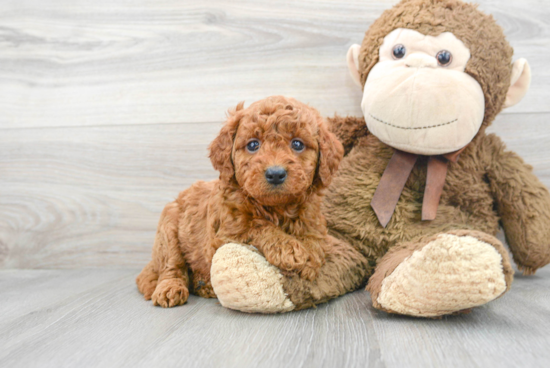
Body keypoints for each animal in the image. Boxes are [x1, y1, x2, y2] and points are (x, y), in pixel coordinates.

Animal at [137, 95, 344, 308]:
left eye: (297, 144)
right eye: (253, 145)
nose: (275, 173)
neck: (276, 208)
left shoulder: (312, 218)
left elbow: (313, 236)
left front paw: (310, 255)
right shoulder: (226, 233)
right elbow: (256, 226)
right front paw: (288, 249)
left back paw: (204, 285)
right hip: (168, 229)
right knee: (172, 265)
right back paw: (170, 288)